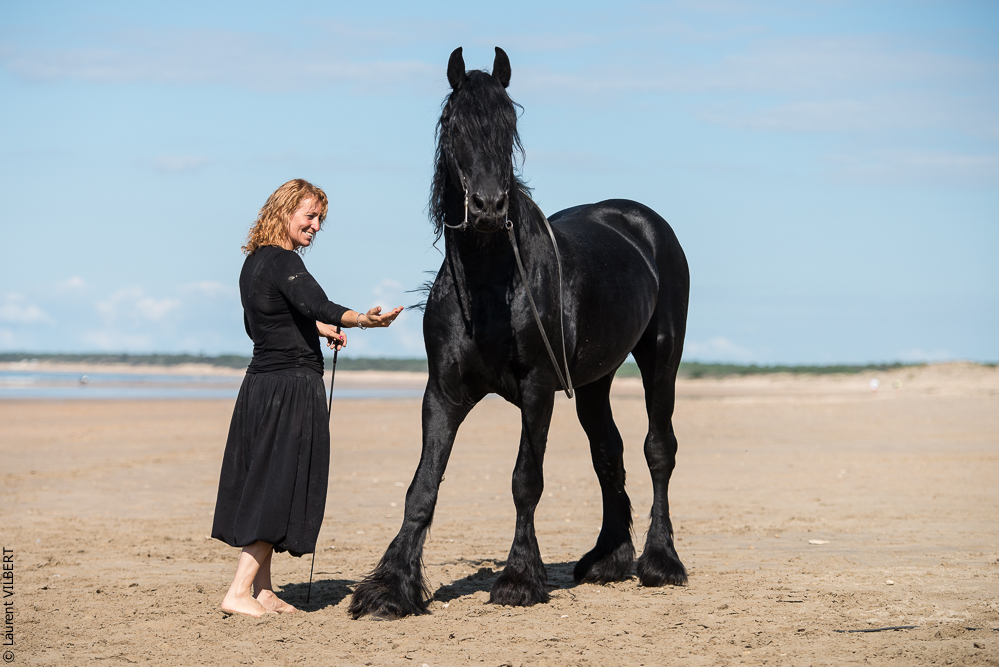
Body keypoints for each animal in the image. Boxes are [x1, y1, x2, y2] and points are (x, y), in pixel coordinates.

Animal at [348, 46, 689, 619]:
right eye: (454, 126)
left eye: (509, 124)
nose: (488, 207)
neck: (491, 285)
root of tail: (642, 223)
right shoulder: (443, 392)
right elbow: (422, 487)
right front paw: (390, 588)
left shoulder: (537, 388)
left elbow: (525, 481)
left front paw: (519, 579)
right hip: (592, 384)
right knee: (609, 453)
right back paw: (608, 558)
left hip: (661, 359)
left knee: (658, 449)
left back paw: (660, 562)